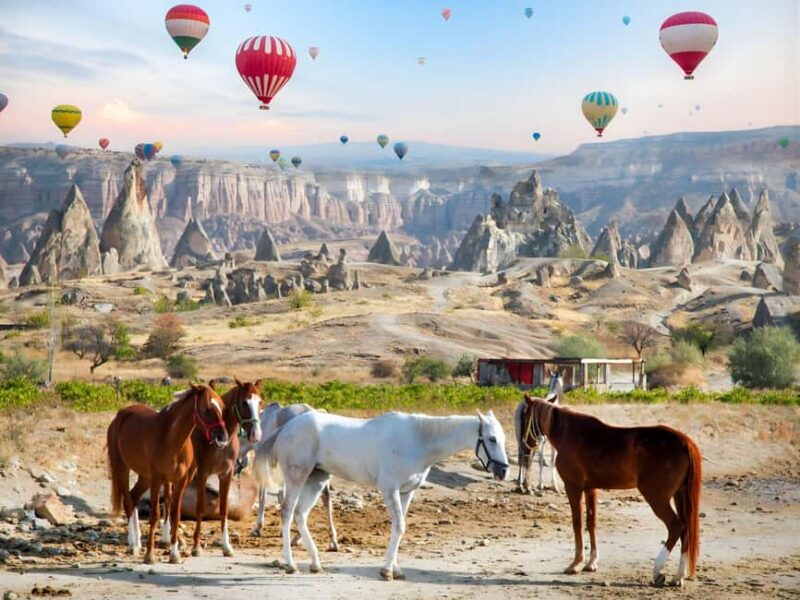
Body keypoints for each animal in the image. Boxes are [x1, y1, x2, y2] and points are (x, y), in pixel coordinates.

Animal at [106, 383, 228, 564]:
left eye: (222, 406)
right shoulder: (157, 479)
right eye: (207, 409)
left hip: (145, 477)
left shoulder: (181, 481)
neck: (172, 439)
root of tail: (120, 416)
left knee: (134, 497)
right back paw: (133, 545)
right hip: (122, 469)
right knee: (128, 501)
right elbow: (155, 515)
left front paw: (174, 554)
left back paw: (137, 542)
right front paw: (150, 555)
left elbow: (175, 515)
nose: (222, 438)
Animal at [184, 378, 263, 557]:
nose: (256, 434)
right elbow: (200, 507)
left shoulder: (226, 474)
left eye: (260, 402)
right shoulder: (203, 474)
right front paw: (196, 546)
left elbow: (224, 509)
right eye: (244, 402)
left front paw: (227, 547)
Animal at [261, 410, 509, 580]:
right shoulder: (390, 490)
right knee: (287, 512)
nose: (503, 471)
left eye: (502, 438)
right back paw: (290, 564)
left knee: (301, 515)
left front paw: (395, 569)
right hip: (297, 477)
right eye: (492, 439)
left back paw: (315, 564)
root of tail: (285, 428)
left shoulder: (406, 493)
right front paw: (387, 571)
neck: (418, 441)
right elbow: (399, 527)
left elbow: (399, 528)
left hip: (317, 480)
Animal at [523, 396, 702, 587]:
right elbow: (591, 523)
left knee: (676, 527)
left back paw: (658, 571)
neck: (568, 433)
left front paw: (576, 563)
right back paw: (678, 576)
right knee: (686, 531)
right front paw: (591, 562)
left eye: (525, 414)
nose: (526, 446)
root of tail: (684, 442)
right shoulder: (590, 489)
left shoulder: (573, 487)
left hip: (657, 498)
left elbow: (577, 524)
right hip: (680, 496)